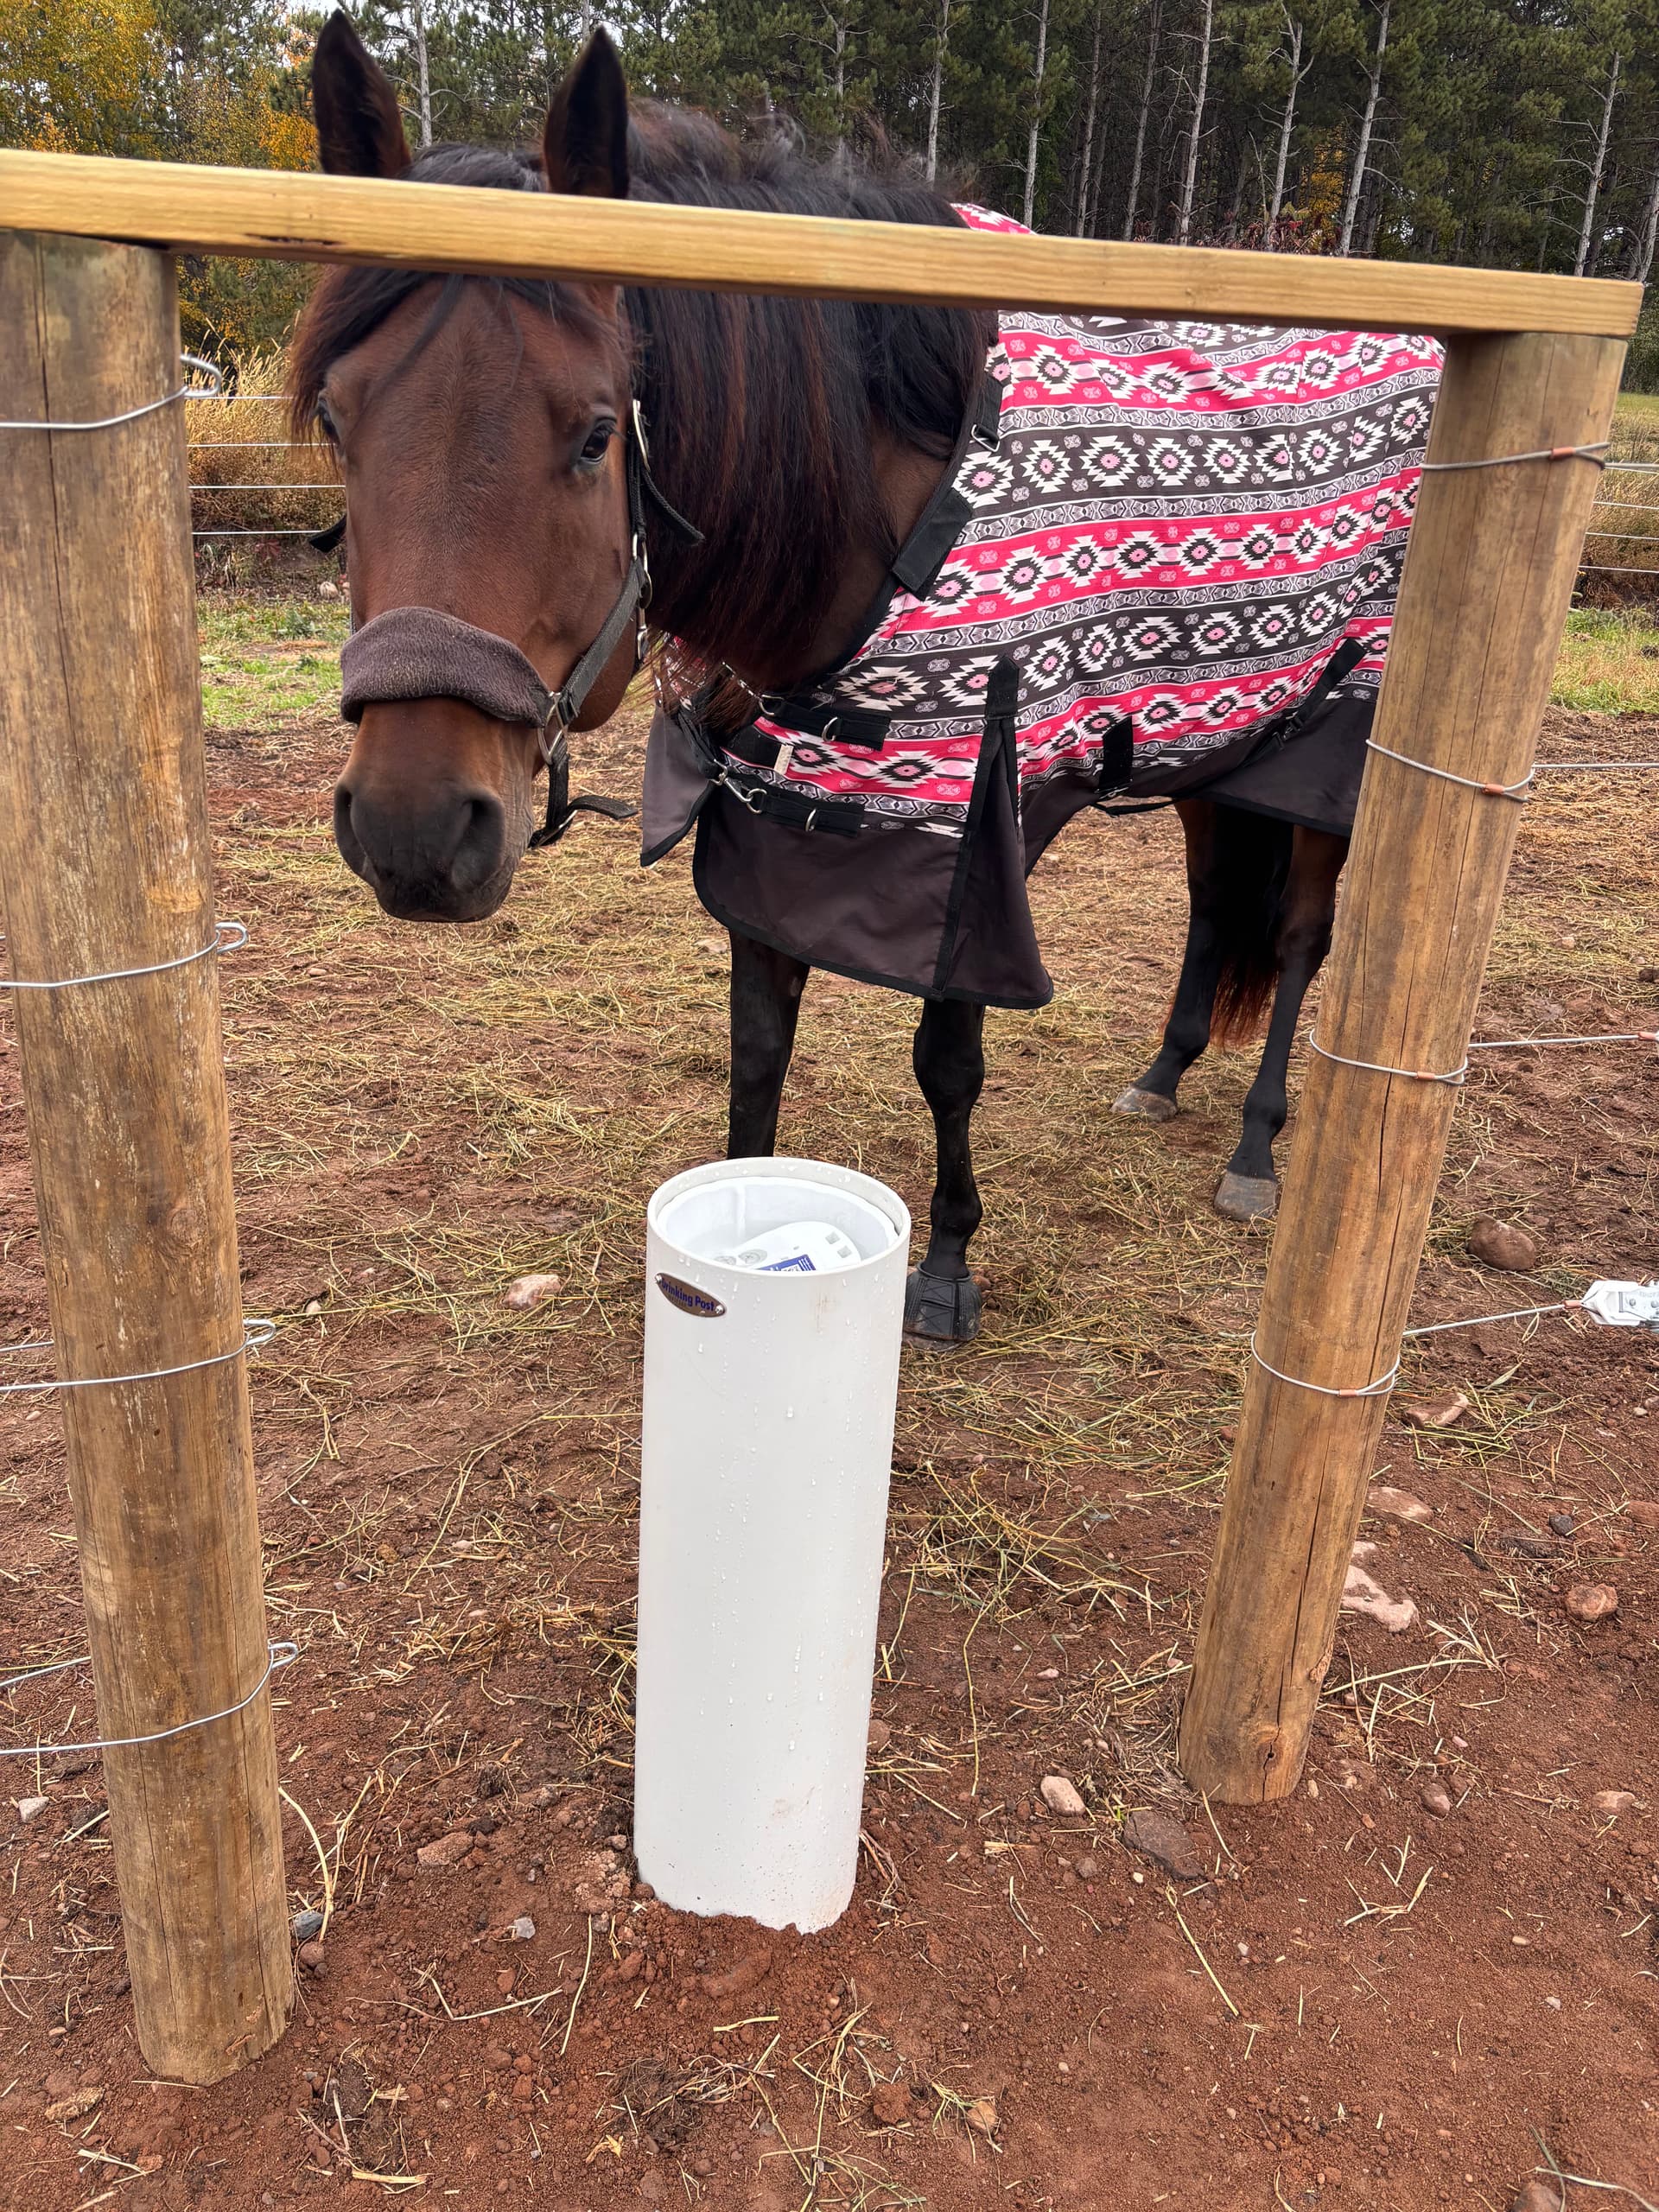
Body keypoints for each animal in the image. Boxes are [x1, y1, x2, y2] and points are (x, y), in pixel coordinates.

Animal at [297, 12, 1438, 1342]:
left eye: (592, 435)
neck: (868, 503)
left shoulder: (972, 841)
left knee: (1302, 940)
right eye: (337, 422)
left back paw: (1256, 1149)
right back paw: (1163, 1074)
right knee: (1215, 905)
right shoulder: (769, 830)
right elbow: (758, 1047)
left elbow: (947, 1059)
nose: (416, 833)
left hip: (1327, 758)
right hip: (1224, 745)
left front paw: (945, 1263)